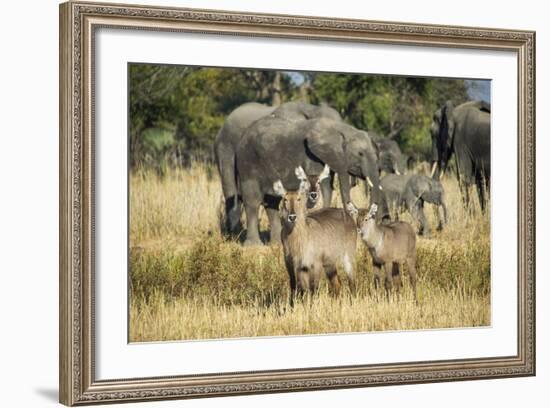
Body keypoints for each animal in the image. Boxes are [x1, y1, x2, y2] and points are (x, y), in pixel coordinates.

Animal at [237, 116, 384, 245]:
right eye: (360, 154)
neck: (342, 129)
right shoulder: (313, 157)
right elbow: (323, 188)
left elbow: (327, 187)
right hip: (247, 162)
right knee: (253, 200)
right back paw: (253, 245)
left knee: (271, 203)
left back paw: (277, 243)